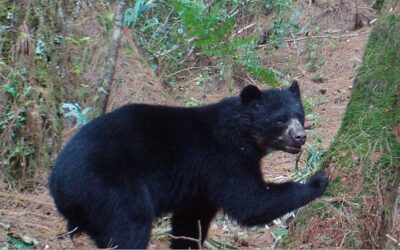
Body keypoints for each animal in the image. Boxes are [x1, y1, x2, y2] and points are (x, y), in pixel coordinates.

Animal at [48, 81, 328, 249]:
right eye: (280, 120)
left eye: (299, 115)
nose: (300, 136)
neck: (243, 134)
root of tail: (57, 181)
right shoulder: (223, 158)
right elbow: (249, 201)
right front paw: (317, 180)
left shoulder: (199, 188)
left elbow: (191, 220)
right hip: (109, 186)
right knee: (129, 226)